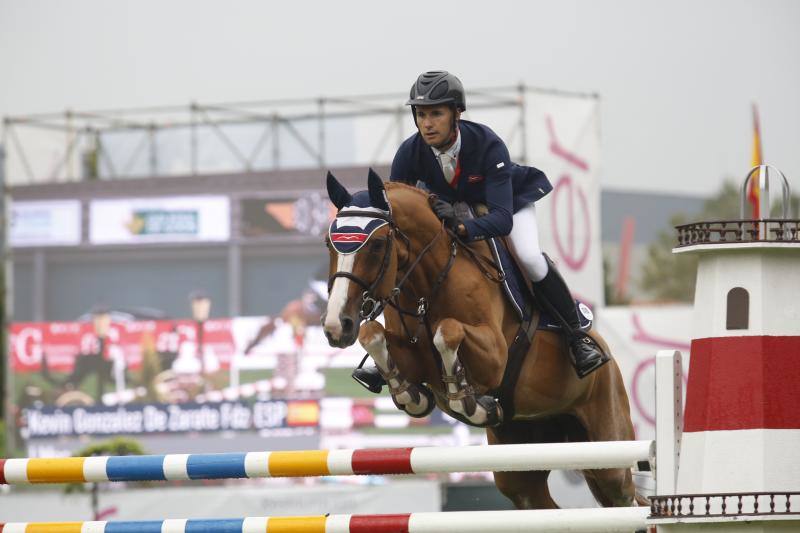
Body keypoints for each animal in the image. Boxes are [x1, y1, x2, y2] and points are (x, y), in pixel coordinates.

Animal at [321, 169, 642, 509]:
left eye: (378, 244)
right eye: (328, 243)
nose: (337, 325)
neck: (427, 283)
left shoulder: (495, 357)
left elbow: (447, 330)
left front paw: (463, 396)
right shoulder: (413, 356)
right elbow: (372, 334)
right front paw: (410, 395)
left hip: (608, 446)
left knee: (622, 494)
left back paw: (584, 353)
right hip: (523, 462)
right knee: (541, 503)